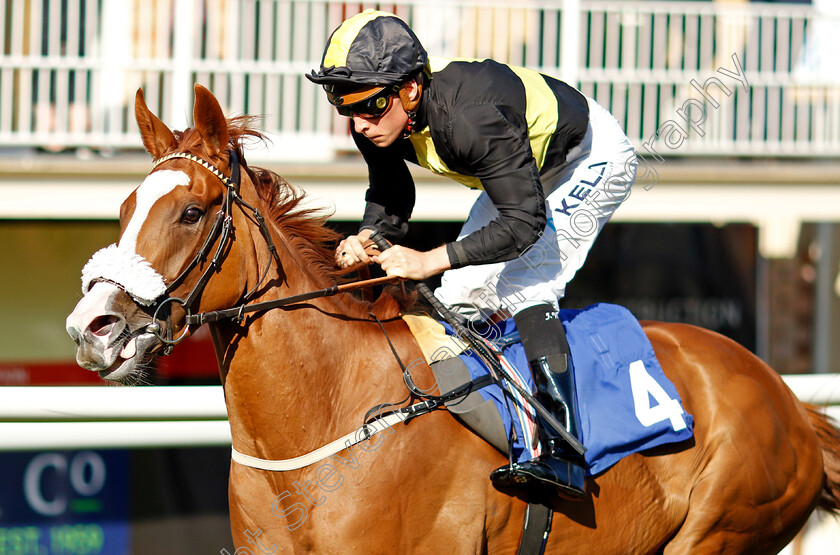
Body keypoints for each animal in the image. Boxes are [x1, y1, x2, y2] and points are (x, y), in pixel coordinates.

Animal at [67, 84, 840, 552]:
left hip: (723, 524)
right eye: (125, 206)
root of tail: (790, 402)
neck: (328, 418)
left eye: (192, 211)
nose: (92, 326)